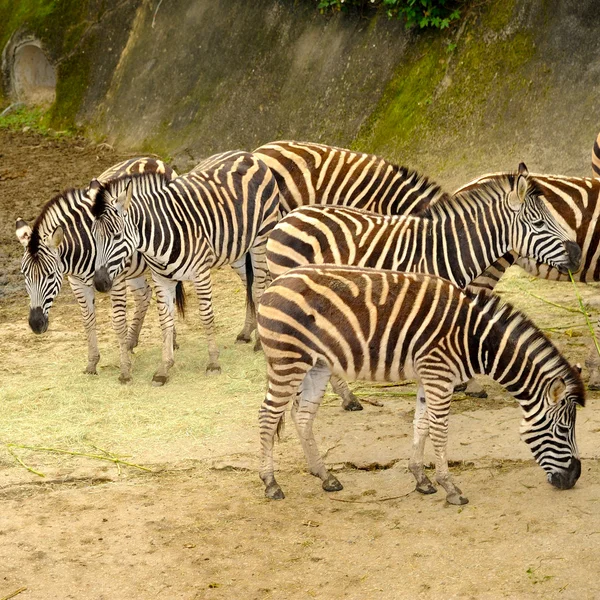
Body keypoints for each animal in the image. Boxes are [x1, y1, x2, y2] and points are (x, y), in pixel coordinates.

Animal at [15, 157, 177, 382]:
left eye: (50, 275)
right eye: (25, 276)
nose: (36, 325)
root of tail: (153, 159)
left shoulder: (114, 279)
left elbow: (118, 321)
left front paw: (125, 370)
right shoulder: (77, 283)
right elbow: (88, 321)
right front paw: (92, 363)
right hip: (134, 268)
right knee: (144, 295)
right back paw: (131, 342)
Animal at [89, 150, 282, 384]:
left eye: (117, 236)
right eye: (94, 237)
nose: (100, 282)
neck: (160, 236)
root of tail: (247, 154)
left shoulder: (201, 274)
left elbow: (206, 316)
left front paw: (213, 362)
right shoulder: (161, 279)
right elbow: (165, 320)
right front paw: (164, 368)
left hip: (261, 238)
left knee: (259, 287)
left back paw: (260, 342)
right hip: (236, 248)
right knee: (251, 284)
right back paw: (249, 332)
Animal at [255, 264, 584, 504]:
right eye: (562, 429)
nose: (574, 478)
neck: (475, 340)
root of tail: (275, 282)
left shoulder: (431, 377)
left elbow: (421, 424)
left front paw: (421, 479)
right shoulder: (439, 375)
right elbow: (440, 430)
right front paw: (450, 487)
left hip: (317, 365)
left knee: (303, 417)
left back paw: (326, 477)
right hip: (289, 360)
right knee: (268, 415)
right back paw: (271, 484)